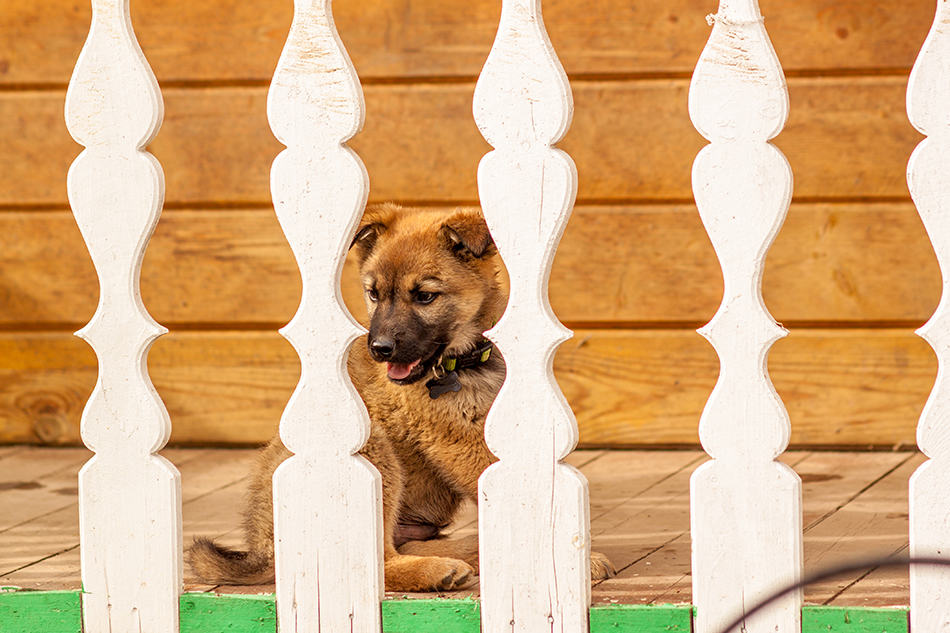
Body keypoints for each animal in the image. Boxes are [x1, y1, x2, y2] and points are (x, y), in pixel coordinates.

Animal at [189, 204, 616, 592]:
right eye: (373, 294)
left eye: (425, 296)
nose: (380, 348)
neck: (461, 364)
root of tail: (262, 548)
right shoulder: (461, 443)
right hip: (374, 449)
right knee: (375, 560)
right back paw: (436, 571)